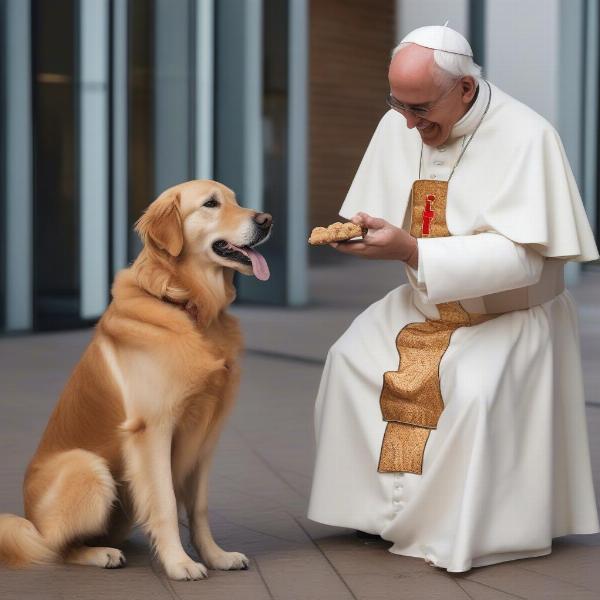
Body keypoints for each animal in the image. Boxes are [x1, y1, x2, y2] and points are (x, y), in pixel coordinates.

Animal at [0, 179, 272, 580]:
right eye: (211, 204)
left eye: (236, 200)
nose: (266, 220)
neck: (186, 305)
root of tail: (28, 515)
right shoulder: (152, 430)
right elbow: (165, 502)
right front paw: (179, 563)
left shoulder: (207, 435)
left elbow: (199, 507)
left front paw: (215, 556)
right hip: (89, 469)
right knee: (54, 547)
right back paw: (100, 554)